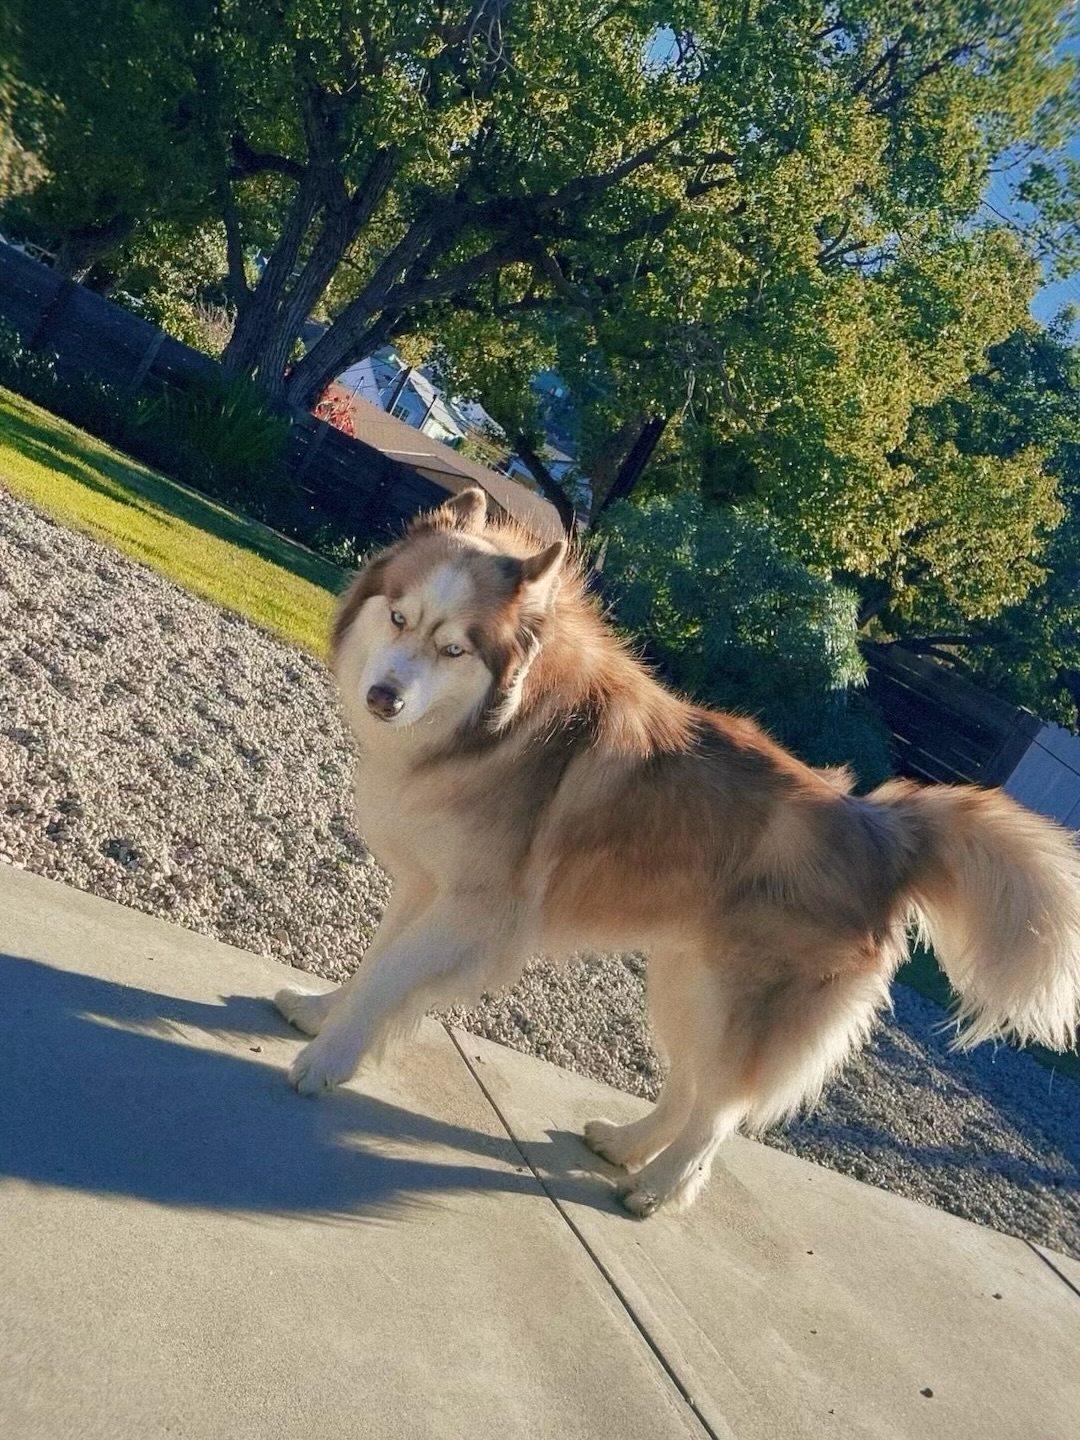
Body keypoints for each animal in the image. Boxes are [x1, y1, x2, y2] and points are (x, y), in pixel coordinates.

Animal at [275, 487, 1080, 1217]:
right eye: (398, 616)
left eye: (453, 648)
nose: (383, 697)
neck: (495, 727)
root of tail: (880, 827)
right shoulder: (423, 887)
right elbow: (374, 966)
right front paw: (320, 1012)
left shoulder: (471, 911)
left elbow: (389, 981)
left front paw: (328, 1061)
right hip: (687, 979)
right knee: (692, 1088)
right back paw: (625, 1145)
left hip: (739, 997)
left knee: (721, 1111)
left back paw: (659, 1189)